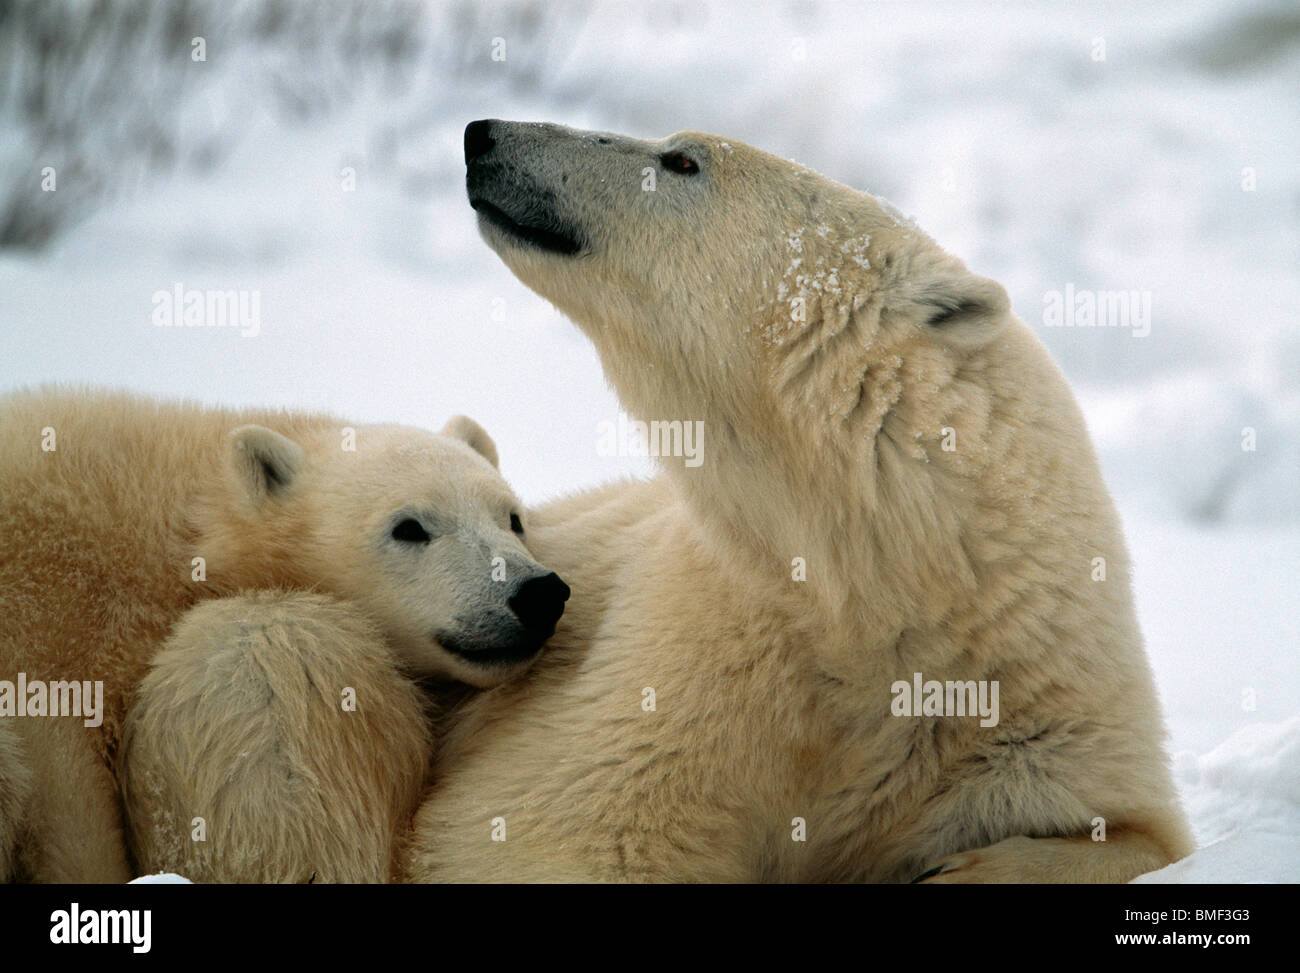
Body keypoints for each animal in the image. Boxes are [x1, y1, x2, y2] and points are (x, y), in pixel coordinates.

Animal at [400, 119, 1190, 879]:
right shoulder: (690, 666)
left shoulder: (1035, 691)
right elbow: (546, 831)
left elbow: (1135, 831)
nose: (483, 133)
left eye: (683, 160)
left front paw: (958, 868)